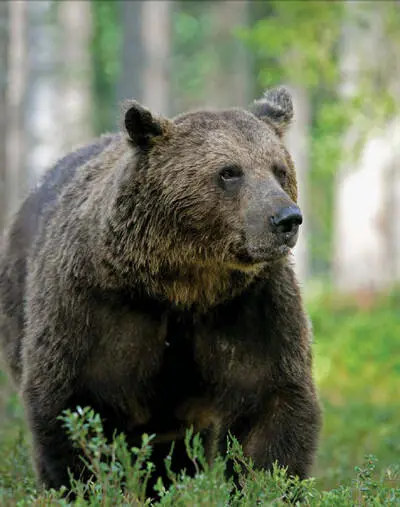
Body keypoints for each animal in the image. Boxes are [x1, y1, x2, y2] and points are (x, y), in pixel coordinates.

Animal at [0, 88, 320, 496]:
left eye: (280, 170)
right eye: (229, 171)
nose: (286, 218)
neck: (182, 284)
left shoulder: (249, 307)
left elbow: (270, 402)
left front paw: (264, 484)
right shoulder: (95, 308)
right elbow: (71, 405)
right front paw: (85, 485)